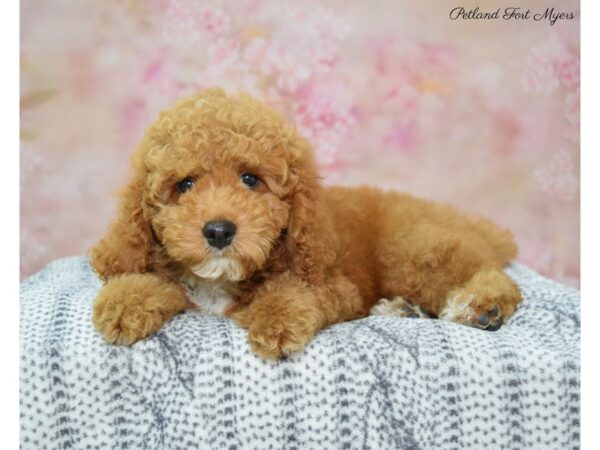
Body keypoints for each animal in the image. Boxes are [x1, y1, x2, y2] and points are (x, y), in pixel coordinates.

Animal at [91, 89, 524, 358]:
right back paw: (403, 311)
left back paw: (480, 308)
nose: (218, 231)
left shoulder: (335, 287)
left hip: (412, 250)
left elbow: (291, 289)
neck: (221, 280)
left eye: (250, 179)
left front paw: (276, 319)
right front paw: (125, 301)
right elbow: (158, 280)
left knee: (495, 279)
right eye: (184, 185)